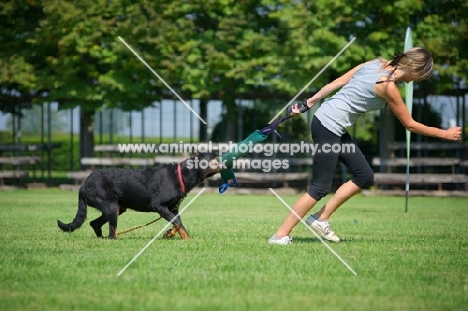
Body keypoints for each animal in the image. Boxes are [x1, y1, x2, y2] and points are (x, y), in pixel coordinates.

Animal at [57, 152, 220, 240]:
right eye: (214, 155)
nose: (220, 150)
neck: (182, 175)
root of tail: (84, 185)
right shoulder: (159, 206)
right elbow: (177, 223)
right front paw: (169, 234)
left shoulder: (173, 208)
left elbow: (179, 224)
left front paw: (184, 239)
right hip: (110, 206)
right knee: (112, 232)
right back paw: (112, 239)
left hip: (118, 208)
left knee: (95, 223)